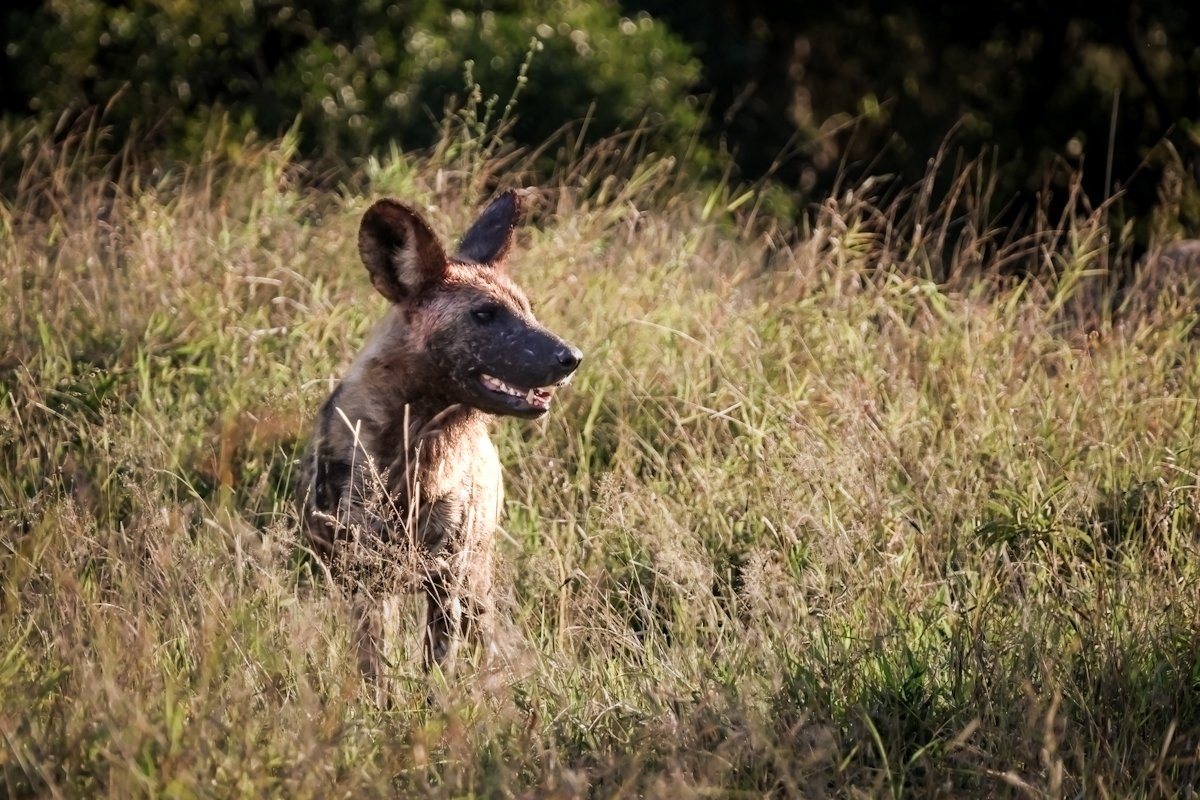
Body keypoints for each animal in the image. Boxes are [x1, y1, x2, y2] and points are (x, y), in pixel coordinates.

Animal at [299, 190, 581, 677]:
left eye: (527, 309)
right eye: (484, 314)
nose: (572, 357)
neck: (413, 450)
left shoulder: (445, 579)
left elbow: (438, 672)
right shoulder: (365, 579)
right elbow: (374, 670)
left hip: (475, 580)